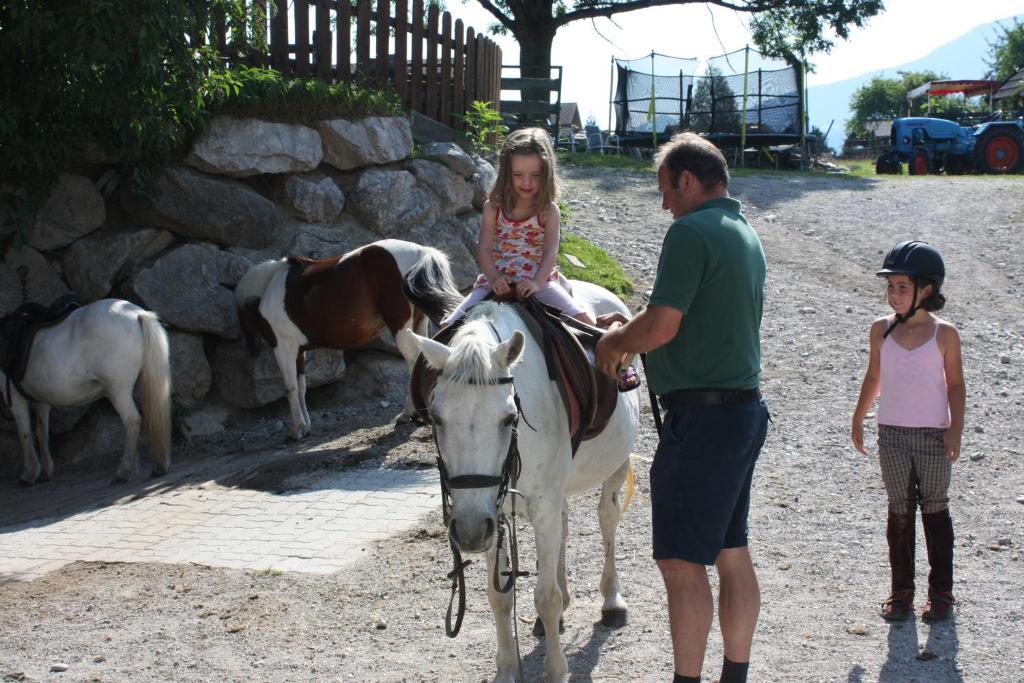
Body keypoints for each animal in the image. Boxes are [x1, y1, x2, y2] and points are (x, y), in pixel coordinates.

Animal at [0, 301, 172, 485]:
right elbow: (41, 431)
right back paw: (151, 467)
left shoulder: (15, 399)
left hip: (118, 390)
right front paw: (45, 471)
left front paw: (29, 474)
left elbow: (24, 433)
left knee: (132, 421)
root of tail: (136, 313)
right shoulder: (40, 399)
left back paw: (123, 471)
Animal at [234, 237, 462, 438]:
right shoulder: (298, 352)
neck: (268, 287)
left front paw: (297, 429)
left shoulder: (283, 347)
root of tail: (421, 251)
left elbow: (290, 387)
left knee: (413, 360)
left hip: (401, 327)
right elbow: (301, 387)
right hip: (419, 324)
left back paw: (407, 414)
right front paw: (306, 426)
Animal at [397, 282, 638, 683]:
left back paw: (611, 600)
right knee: (565, 526)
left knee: (607, 519)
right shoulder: (491, 512)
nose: (469, 530)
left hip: (615, 466)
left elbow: (545, 596)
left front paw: (556, 670)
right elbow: (500, 596)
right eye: (436, 417)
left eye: (509, 417)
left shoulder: (535, 507)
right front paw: (508, 668)